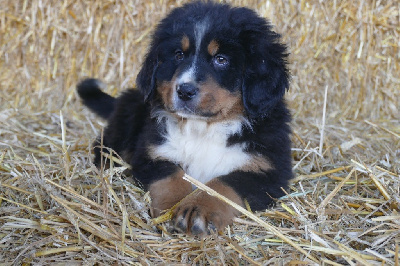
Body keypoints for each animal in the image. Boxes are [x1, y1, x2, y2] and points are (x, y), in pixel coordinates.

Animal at [76, 1, 292, 236]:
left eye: (221, 59)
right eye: (179, 55)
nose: (185, 91)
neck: (204, 129)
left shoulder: (268, 171)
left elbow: (223, 184)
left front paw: (198, 208)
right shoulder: (152, 152)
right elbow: (171, 176)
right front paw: (174, 205)